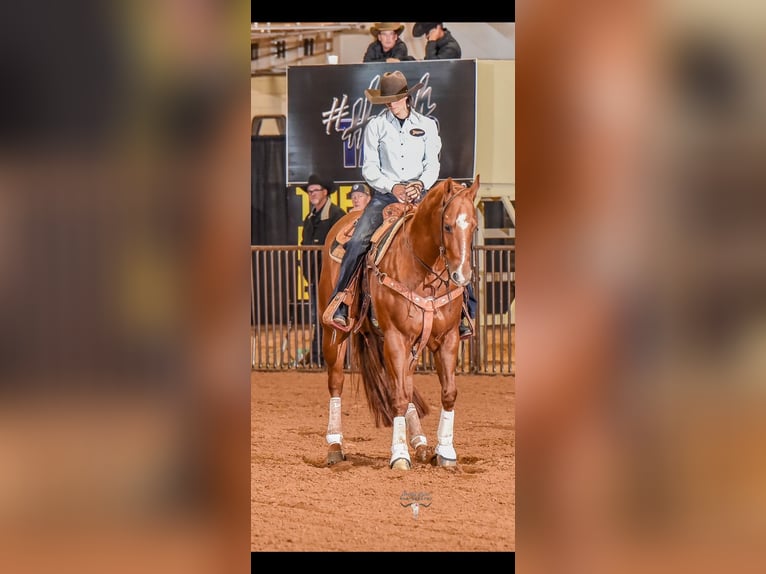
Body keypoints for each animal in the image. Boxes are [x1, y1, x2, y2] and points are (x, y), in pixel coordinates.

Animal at [318, 177, 480, 472]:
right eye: (448, 225)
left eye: (473, 225)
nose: (461, 277)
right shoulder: (396, 338)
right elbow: (399, 397)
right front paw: (400, 456)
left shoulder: (448, 338)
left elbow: (447, 393)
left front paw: (445, 452)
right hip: (334, 334)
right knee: (336, 382)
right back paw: (335, 446)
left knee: (405, 385)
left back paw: (420, 443)